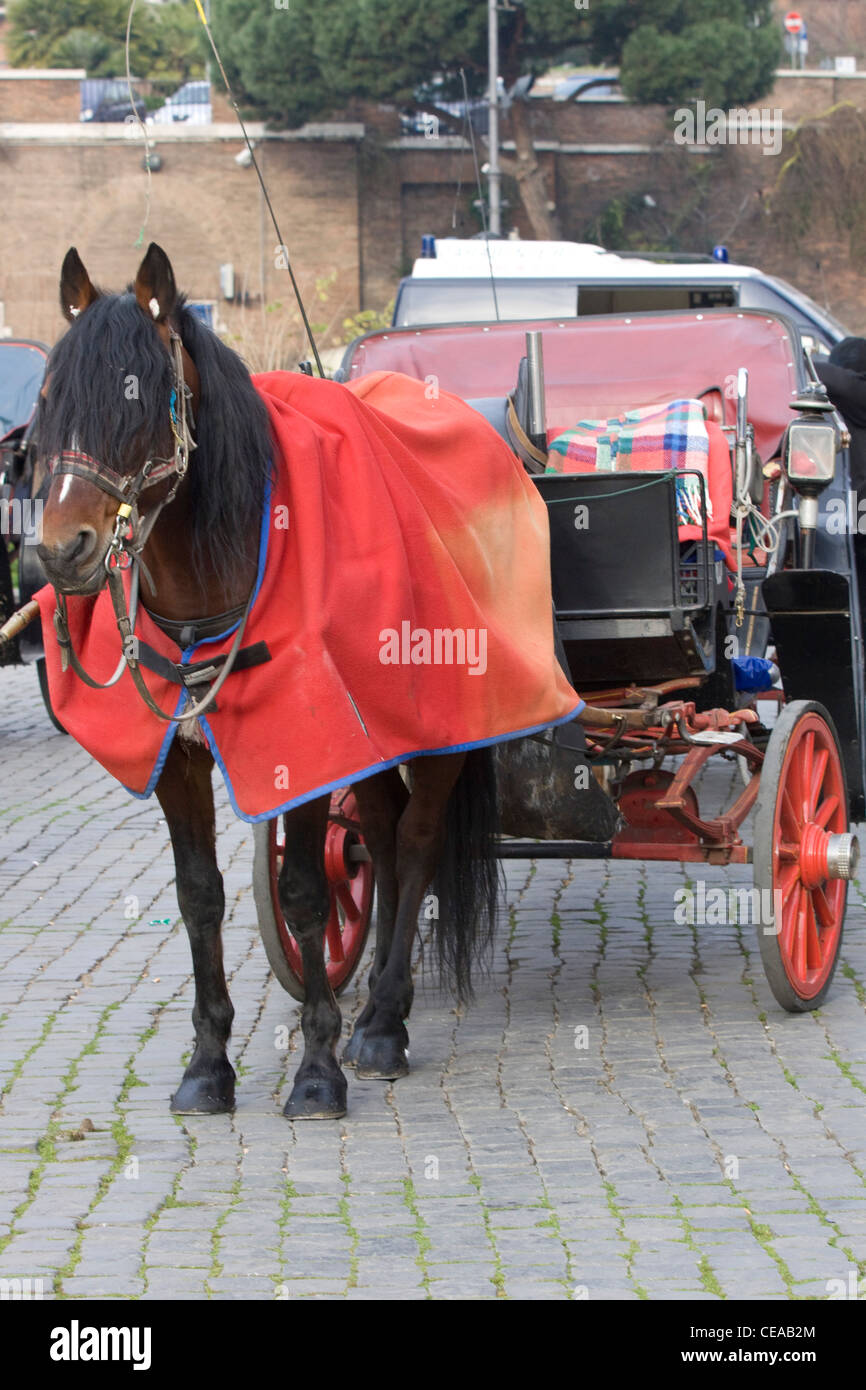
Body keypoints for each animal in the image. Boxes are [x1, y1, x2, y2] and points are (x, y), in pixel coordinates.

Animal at [35, 247, 500, 1117]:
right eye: (49, 398)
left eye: (137, 395)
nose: (60, 548)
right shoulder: (180, 760)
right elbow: (199, 894)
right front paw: (207, 1062)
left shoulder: (303, 753)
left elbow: (305, 892)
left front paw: (317, 1069)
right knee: (380, 838)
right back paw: (377, 1001)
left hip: (443, 730)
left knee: (417, 840)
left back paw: (385, 1019)